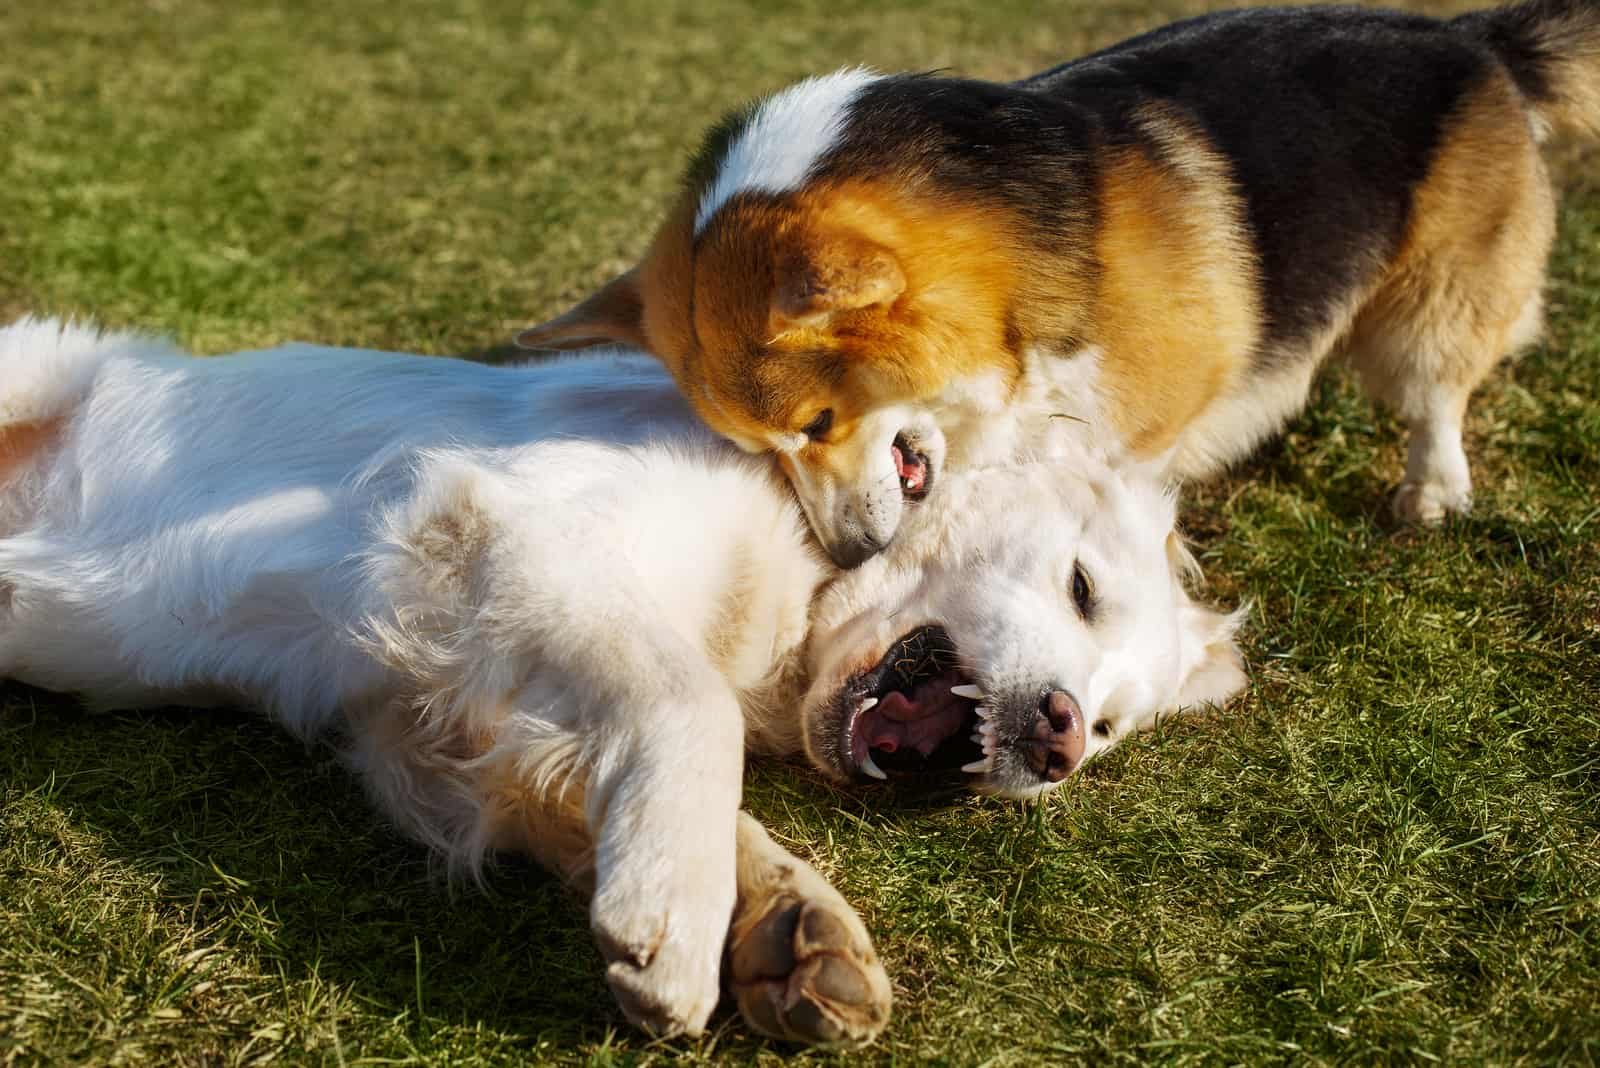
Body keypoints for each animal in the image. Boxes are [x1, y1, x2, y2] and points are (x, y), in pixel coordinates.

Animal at [0, 314, 1241, 1042]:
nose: (1061, 738)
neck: (795, 560)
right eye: (1080, 587)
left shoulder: (433, 727)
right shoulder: (517, 537)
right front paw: (678, 929)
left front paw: (792, 928)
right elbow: (693, 718)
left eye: (1114, 727)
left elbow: (684, 805)